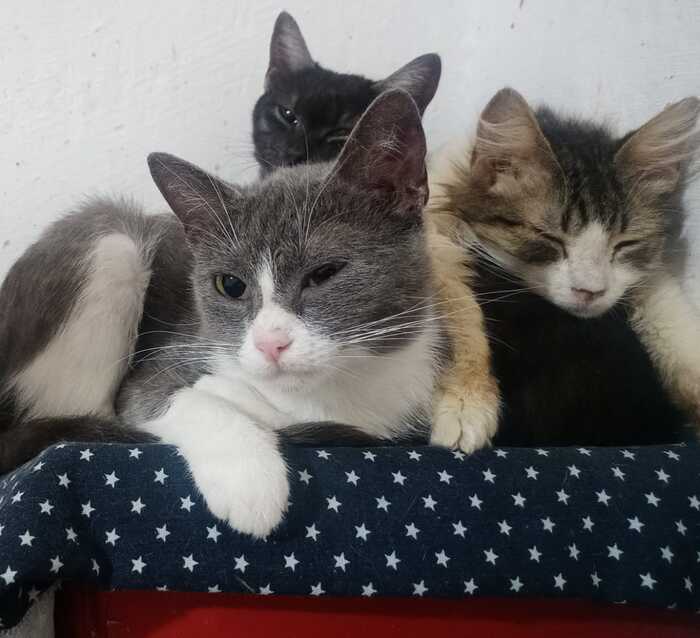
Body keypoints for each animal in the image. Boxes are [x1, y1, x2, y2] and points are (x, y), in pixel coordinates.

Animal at [0, 90, 448, 537]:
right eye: (230, 285)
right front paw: (250, 481)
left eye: (324, 273)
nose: (270, 343)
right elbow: (166, 398)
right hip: (112, 245)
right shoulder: (165, 363)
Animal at [429, 87, 700, 445]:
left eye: (625, 244)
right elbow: (461, 314)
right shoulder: (431, 238)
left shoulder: (647, 281)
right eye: (550, 238)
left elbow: (672, 322)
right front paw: (467, 404)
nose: (589, 292)